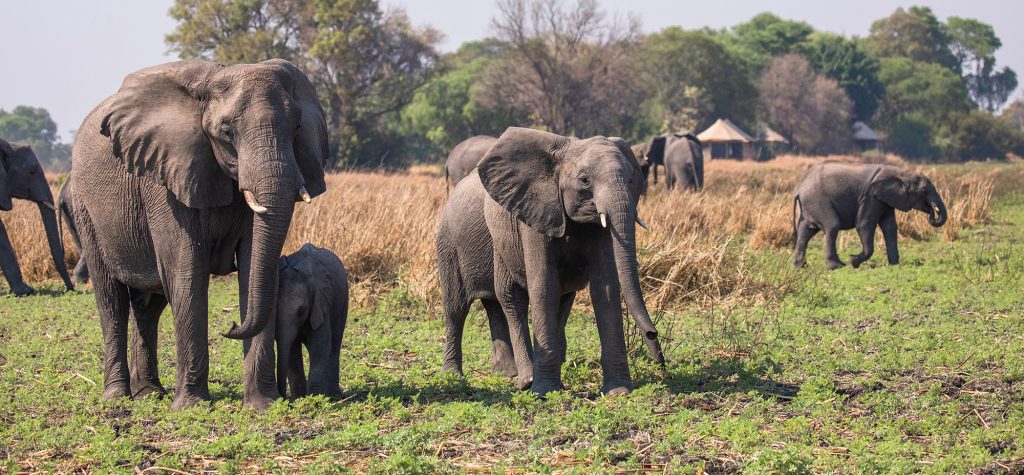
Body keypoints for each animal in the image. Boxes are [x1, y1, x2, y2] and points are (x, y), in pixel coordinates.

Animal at [71, 59, 328, 410]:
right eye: (226, 132)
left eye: (297, 127)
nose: (231, 326)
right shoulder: (164, 178)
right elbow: (186, 272)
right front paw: (191, 406)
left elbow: (254, 267)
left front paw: (262, 405)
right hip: (84, 207)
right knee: (111, 300)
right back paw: (117, 397)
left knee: (148, 307)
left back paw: (149, 393)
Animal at [276, 243, 348, 399]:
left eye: (301, 311)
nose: (283, 397)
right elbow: (292, 350)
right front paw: (299, 398)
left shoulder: (321, 302)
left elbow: (320, 346)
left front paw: (315, 399)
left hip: (342, 301)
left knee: (334, 344)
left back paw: (334, 395)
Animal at [436, 127, 664, 396]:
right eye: (584, 180)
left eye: (630, 180)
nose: (653, 336)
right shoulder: (533, 214)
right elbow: (544, 287)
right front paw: (545, 391)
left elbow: (604, 290)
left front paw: (618, 392)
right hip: (449, 243)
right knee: (468, 306)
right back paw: (475, 377)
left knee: (501, 305)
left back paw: (507, 373)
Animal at [792, 161, 947, 270]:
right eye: (923, 190)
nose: (933, 212)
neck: (903, 173)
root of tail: (798, 187)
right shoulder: (870, 197)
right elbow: (864, 225)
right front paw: (853, 262)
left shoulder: (886, 199)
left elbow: (890, 227)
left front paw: (894, 265)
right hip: (817, 200)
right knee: (832, 226)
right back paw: (837, 266)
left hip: (810, 204)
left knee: (805, 231)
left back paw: (801, 266)